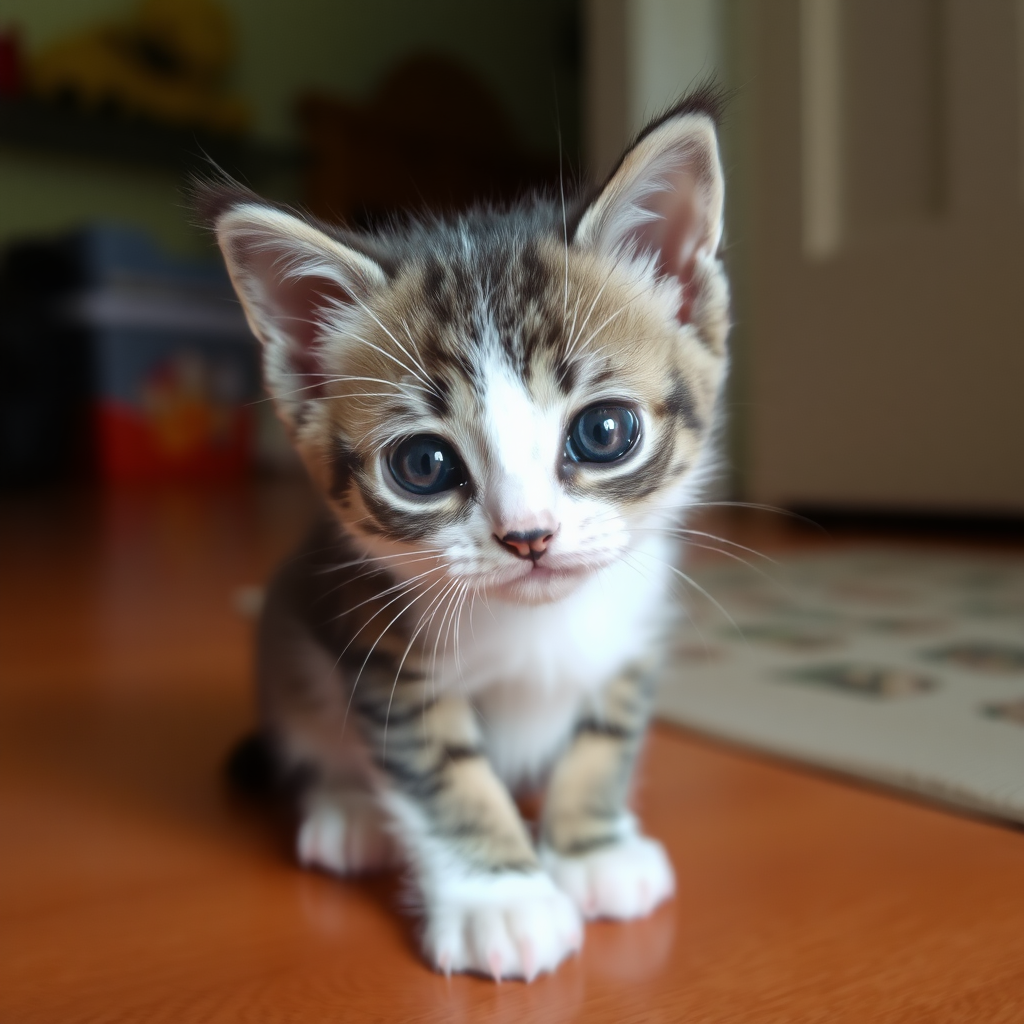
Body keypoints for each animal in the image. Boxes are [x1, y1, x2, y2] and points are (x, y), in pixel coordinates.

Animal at [199, 88, 729, 983]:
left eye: (604, 432)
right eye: (424, 463)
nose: (529, 536)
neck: (538, 627)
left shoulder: (634, 631)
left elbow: (606, 734)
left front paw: (590, 848)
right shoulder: (378, 651)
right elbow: (443, 768)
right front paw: (501, 897)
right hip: (291, 634)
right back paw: (346, 809)